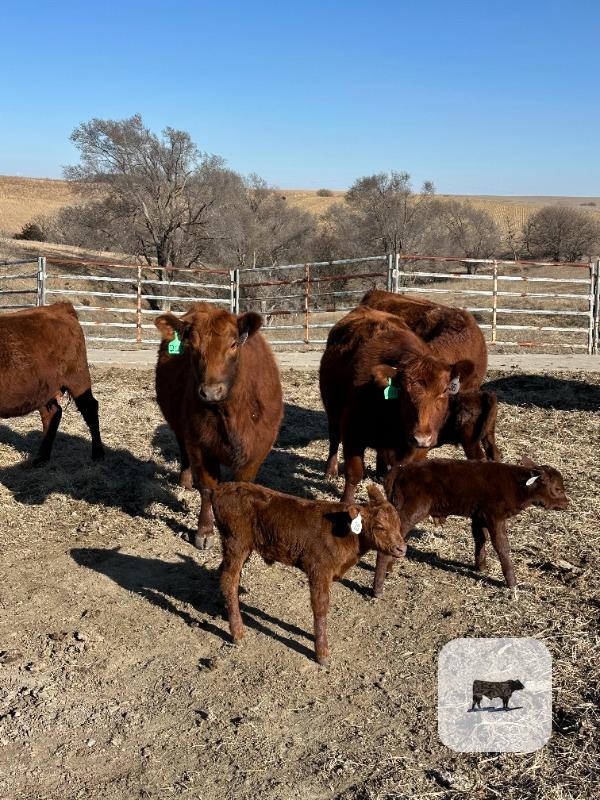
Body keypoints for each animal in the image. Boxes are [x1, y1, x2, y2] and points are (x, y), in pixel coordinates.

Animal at [0, 303, 104, 463]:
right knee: (52, 414)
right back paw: (41, 458)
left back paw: (98, 454)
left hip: (78, 378)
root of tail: (58, 307)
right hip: (43, 389)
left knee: (90, 408)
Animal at [155, 303, 283, 549]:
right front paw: (204, 531)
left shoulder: (257, 448)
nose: (211, 392)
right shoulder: (199, 444)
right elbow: (207, 488)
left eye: (233, 344)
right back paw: (185, 482)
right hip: (179, 426)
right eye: (192, 346)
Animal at [212, 482, 406, 666]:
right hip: (236, 543)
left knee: (224, 573)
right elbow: (320, 606)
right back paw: (237, 632)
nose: (402, 549)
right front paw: (322, 653)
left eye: (398, 524)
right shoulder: (319, 570)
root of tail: (221, 488)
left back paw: (225, 609)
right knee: (230, 579)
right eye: (380, 526)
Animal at [319, 305, 475, 502]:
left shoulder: (419, 451)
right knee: (334, 439)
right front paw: (346, 502)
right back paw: (330, 471)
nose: (422, 438)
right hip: (332, 411)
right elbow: (354, 473)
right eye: (404, 391)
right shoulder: (352, 432)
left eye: (445, 391)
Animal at [374, 456, 569, 596]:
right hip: (412, 510)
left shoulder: (479, 516)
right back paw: (377, 589)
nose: (567, 503)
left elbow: (480, 538)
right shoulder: (495, 515)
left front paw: (480, 567)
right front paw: (512, 583)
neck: (516, 485)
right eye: (558, 489)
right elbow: (501, 546)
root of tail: (399, 470)